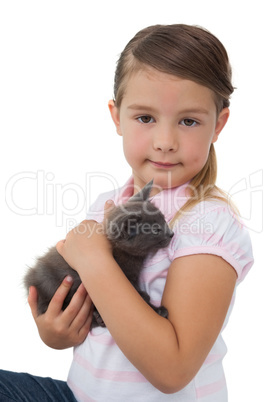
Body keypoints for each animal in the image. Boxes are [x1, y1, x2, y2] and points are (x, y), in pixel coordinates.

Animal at [24, 181, 173, 328]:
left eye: (163, 219)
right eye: (156, 230)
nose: (171, 233)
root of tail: (29, 279)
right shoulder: (125, 276)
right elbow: (137, 295)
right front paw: (157, 309)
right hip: (48, 282)